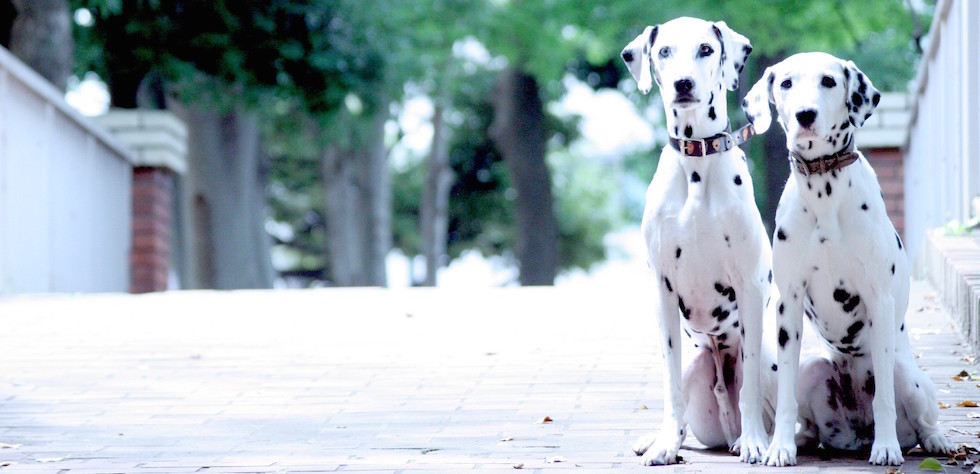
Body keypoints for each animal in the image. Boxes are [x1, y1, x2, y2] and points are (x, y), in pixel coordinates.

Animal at [624, 16, 776, 464]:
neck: (696, 164)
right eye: (664, 51)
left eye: (706, 49)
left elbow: (750, 387)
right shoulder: (662, 291)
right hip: (696, 362)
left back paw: (749, 437)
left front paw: (756, 443)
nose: (683, 83)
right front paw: (664, 444)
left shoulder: (749, 286)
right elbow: (669, 385)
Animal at [744, 51, 948, 466]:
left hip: (910, 378)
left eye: (828, 81)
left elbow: (884, 399)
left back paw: (931, 440)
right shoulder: (788, 304)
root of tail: (856, 435)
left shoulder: (879, 301)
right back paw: (802, 439)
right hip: (810, 368)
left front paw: (886, 447)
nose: (805, 114)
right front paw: (780, 447)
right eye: (786, 83)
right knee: (806, 414)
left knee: (922, 419)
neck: (824, 190)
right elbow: (785, 399)